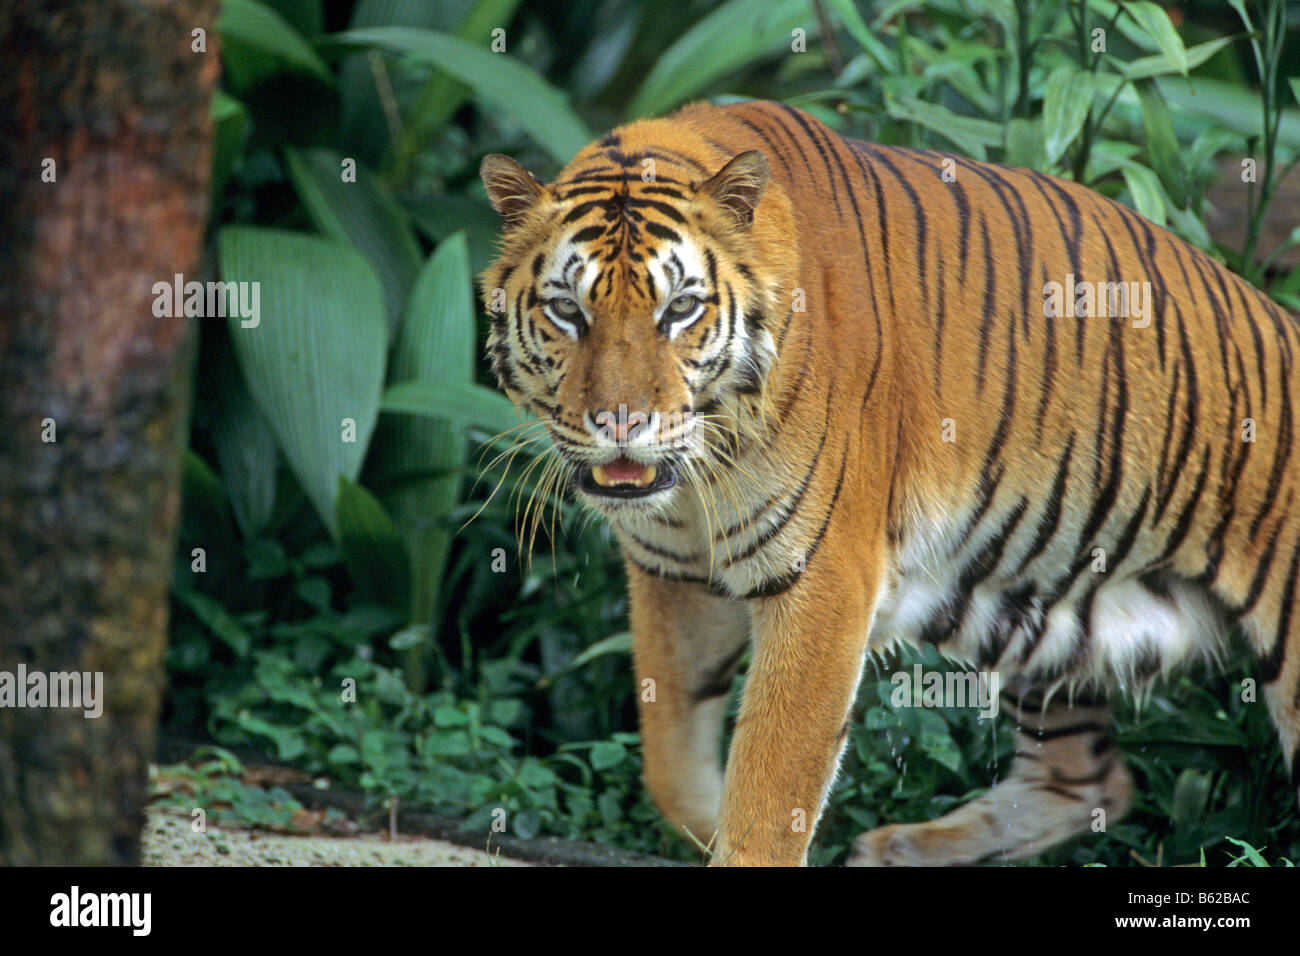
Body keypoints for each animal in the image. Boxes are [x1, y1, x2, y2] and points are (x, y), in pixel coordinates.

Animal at [478, 97, 1300, 868]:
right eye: (567, 310)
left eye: (679, 309)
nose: (621, 423)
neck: (695, 485)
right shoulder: (673, 578)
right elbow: (670, 767)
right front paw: (707, 822)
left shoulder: (823, 579)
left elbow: (772, 787)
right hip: (1038, 611)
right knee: (1090, 780)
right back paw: (899, 848)